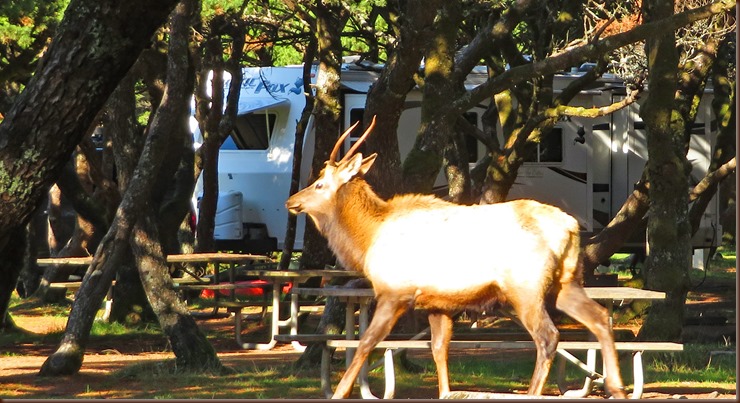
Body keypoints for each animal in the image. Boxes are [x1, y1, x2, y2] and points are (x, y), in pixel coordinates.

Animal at [286, 117, 628, 400]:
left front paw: (339, 392)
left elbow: (366, 344)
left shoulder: (394, 293)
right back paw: (616, 388)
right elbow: (439, 349)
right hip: (565, 282)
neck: (367, 239)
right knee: (600, 317)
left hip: (525, 288)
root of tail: (569, 228)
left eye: (319, 183)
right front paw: (445, 391)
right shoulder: (438, 303)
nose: (292, 201)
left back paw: (536, 392)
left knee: (548, 336)